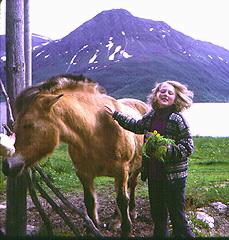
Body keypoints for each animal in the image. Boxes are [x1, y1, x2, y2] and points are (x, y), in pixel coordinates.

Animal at [2, 74, 149, 236]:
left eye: (28, 124)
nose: (7, 165)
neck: (95, 131)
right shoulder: (84, 174)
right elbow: (90, 202)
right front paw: (93, 231)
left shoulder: (121, 171)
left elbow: (123, 200)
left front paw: (127, 230)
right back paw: (116, 219)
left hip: (135, 168)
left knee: (132, 185)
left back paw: (131, 212)